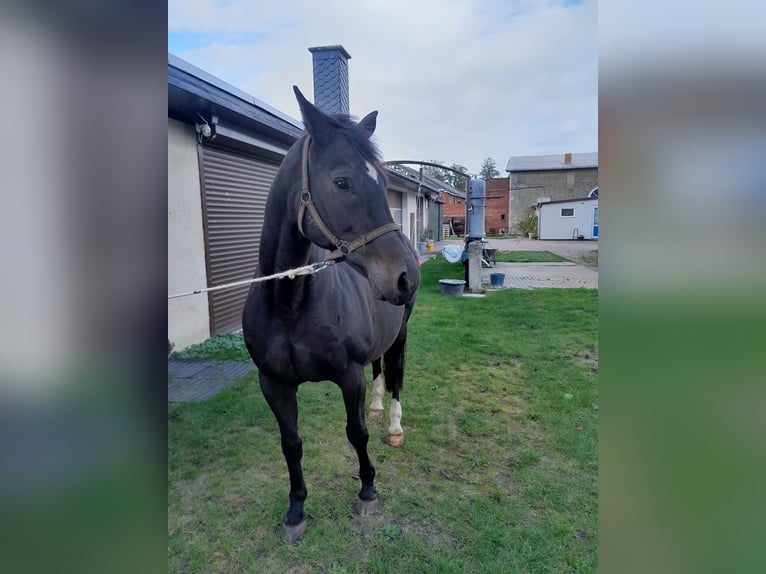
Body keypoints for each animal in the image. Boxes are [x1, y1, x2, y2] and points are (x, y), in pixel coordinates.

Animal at [243, 86, 420, 544]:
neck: (289, 301)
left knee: (396, 373)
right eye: (342, 182)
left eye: (384, 183)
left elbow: (356, 434)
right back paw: (376, 407)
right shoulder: (273, 385)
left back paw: (393, 426)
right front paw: (295, 511)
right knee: (380, 370)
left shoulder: (347, 375)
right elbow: (291, 444)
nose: (406, 277)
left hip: (401, 335)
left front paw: (368, 491)